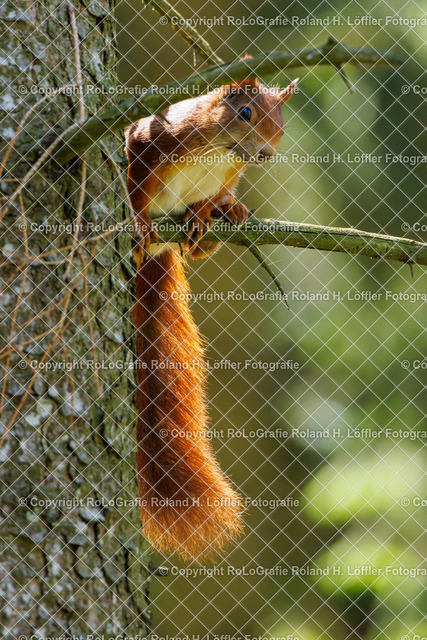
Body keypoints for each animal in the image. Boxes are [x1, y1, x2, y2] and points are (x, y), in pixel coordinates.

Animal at [125, 76, 298, 561]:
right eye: (245, 113)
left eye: (282, 123)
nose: (266, 153)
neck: (219, 150)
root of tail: (163, 251)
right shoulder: (152, 138)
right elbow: (134, 181)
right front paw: (139, 219)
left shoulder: (228, 176)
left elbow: (208, 198)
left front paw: (205, 213)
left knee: (208, 238)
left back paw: (227, 213)